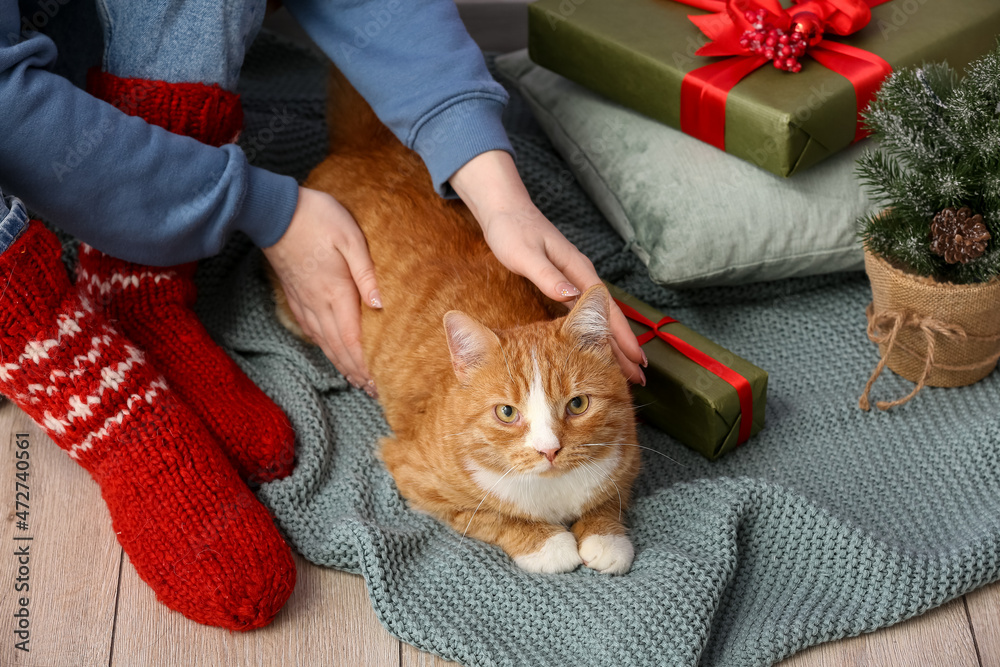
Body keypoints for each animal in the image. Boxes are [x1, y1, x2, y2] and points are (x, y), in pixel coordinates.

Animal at [270, 72, 636, 576]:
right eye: (506, 413)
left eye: (578, 405)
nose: (549, 450)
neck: (551, 490)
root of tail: (369, 147)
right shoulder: (416, 476)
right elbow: (491, 517)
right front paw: (546, 543)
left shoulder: (627, 454)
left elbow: (609, 495)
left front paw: (605, 535)